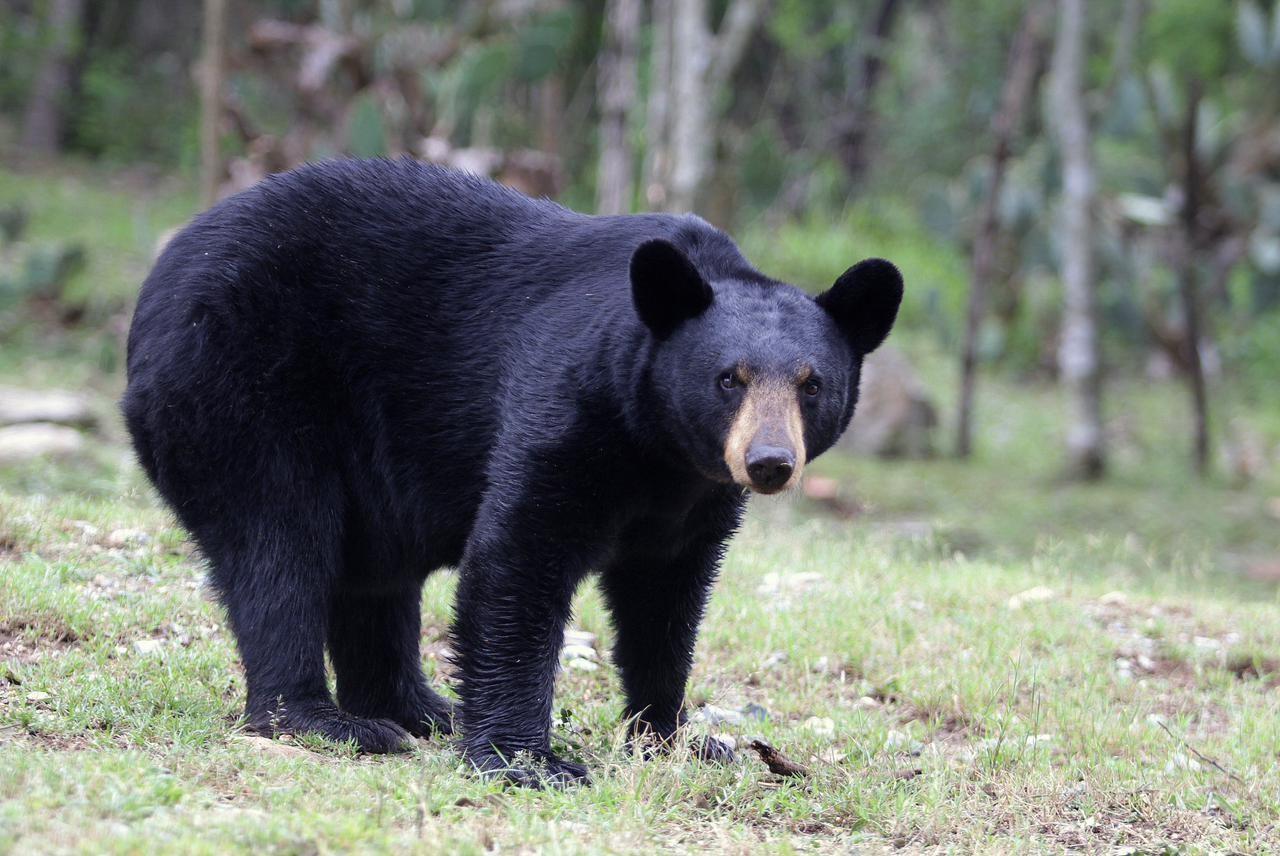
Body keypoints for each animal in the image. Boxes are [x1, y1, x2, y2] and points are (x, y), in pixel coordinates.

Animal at [122, 156, 901, 783]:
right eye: (728, 379)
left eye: (811, 384)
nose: (768, 463)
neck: (659, 448)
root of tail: (155, 286)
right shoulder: (569, 402)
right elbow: (519, 558)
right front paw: (529, 759)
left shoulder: (695, 499)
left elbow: (665, 599)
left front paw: (674, 737)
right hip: (242, 385)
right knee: (279, 542)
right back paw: (325, 719)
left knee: (370, 577)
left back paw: (418, 708)